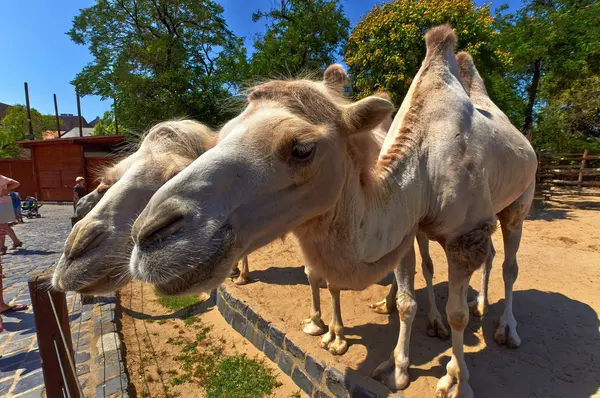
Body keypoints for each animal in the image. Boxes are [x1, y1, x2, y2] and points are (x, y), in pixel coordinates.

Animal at [129, 25, 536, 398]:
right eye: (222, 135)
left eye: (301, 149)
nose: (147, 235)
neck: (425, 158)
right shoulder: (404, 228)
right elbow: (407, 301)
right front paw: (397, 369)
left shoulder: (466, 234)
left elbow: (458, 314)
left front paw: (456, 381)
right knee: (451, 263)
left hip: (520, 200)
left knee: (508, 264)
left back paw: (504, 328)